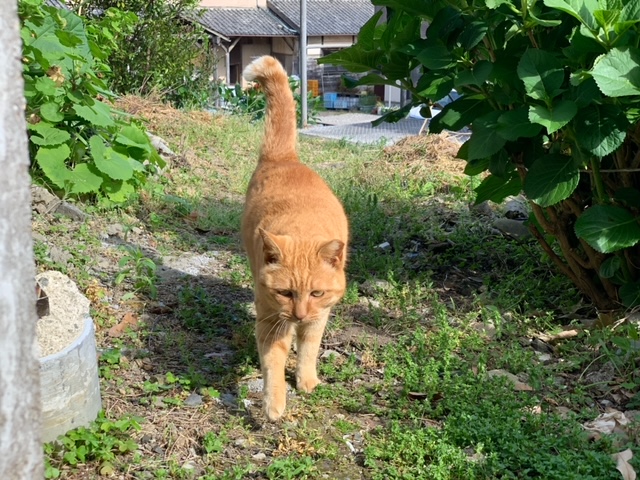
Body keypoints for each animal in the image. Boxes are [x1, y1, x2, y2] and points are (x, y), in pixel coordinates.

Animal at [241, 56, 350, 420]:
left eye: (316, 292)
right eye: (285, 292)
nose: (300, 315)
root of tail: (284, 157)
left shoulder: (319, 317)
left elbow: (308, 350)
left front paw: (306, 380)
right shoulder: (271, 319)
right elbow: (273, 362)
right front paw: (273, 404)